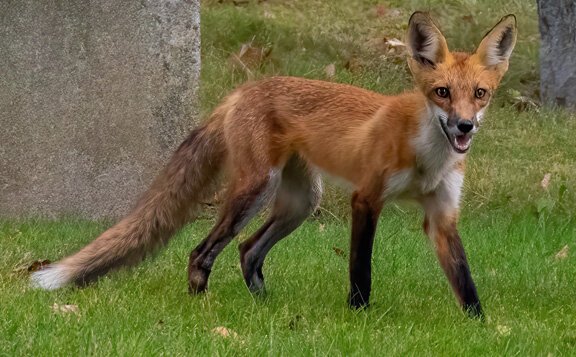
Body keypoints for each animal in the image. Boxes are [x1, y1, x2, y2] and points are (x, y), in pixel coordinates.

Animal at [31, 11, 516, 318]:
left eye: (480, 94)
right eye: (441, 92)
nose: (464, 127)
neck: (427, 158)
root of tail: (241, 91)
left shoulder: (442, 215)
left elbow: (465, 280)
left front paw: (480, 326)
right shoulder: (367, 198)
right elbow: (361, 269)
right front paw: (359, 317)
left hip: (301, 202)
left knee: (247, 251)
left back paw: (264, 308)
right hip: (256, 188)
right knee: (202, 251)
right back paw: (200, 308)